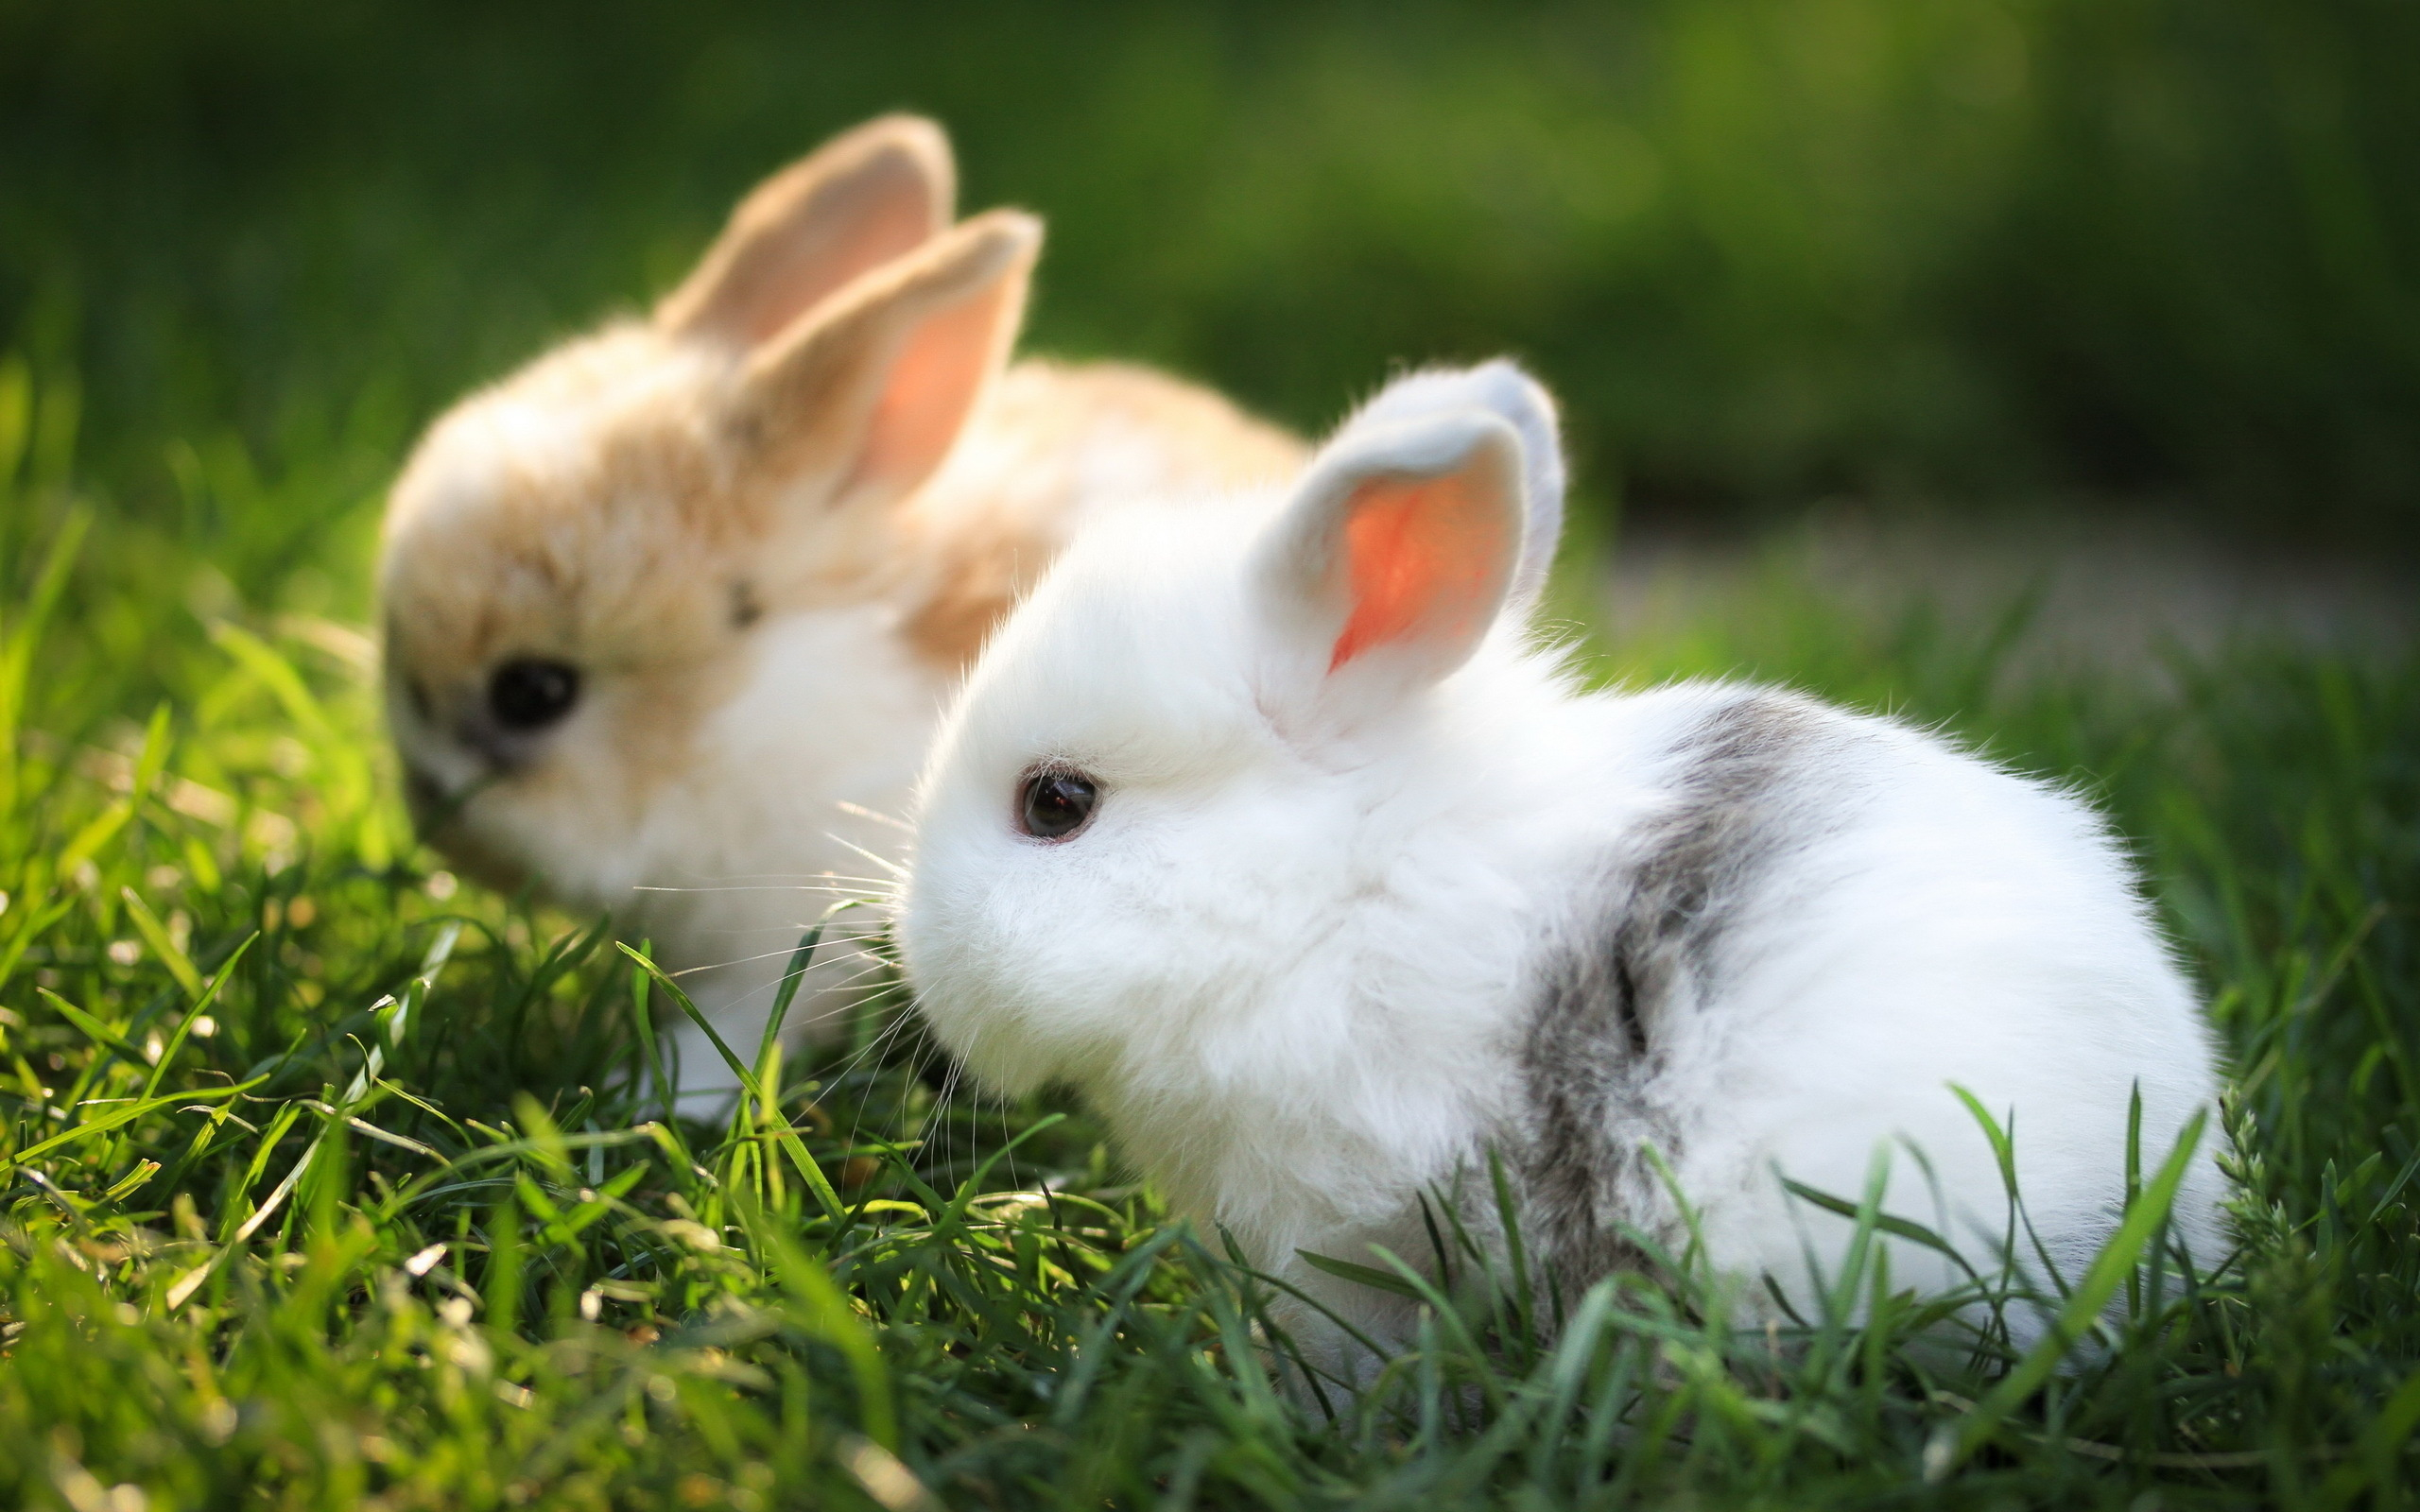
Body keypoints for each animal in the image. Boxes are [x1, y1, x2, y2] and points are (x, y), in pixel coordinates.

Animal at [377, 114, 1306, 1098]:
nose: (439, 833)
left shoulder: (801, 926)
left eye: (534, 692)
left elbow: (746, 1022)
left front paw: (658, 1093)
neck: (743, 710)